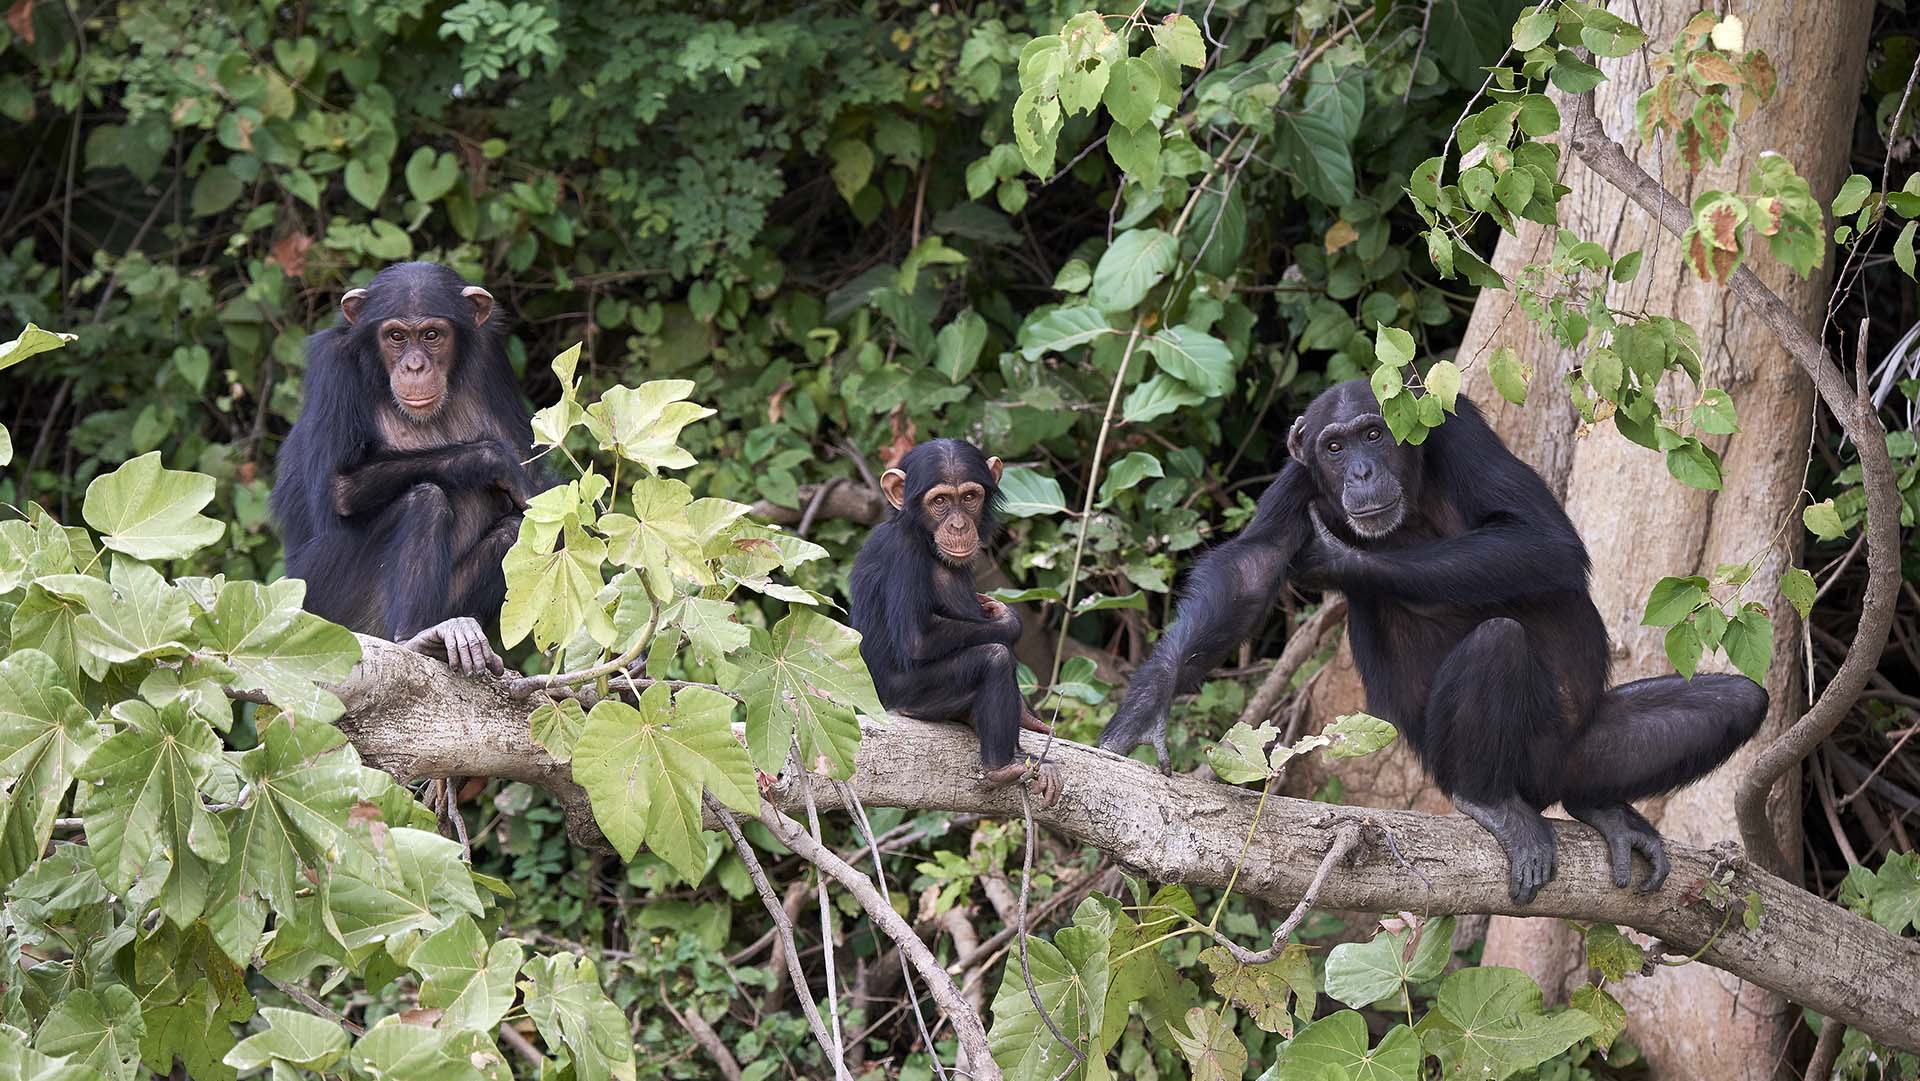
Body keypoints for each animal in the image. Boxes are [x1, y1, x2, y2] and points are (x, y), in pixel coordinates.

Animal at [268, 263, 549, 675]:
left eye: (431, 335)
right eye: (396, 336)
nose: (414, 365)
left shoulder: (491, 358)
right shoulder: (333, 366)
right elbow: (339, 487)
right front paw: (494, 460)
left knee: (516, 530)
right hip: (322, 609)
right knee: (425, 500)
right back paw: (417, 637)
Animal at [856, 437, 1067, 802]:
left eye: (969, 497)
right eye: (939, 501)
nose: (958, 525)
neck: (918, 532)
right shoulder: (904, 556)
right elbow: (918, 640)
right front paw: (1009, 619)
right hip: (911, 696)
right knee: (993, 657)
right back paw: (1001, 767)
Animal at [1098, 380, 1766, 906]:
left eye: (1373, 434)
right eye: (1334, 447)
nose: (1361, 471)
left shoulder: (1463, 431)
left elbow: (1543, 538)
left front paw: (1339, 559)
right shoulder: (1294, 485)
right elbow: (1251, 570)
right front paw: (1147, 708)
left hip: (1587, 752)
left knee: (1737, 701)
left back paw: (1599, 808)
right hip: (1481, 761)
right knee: (1498, 646)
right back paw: (1492, 803)